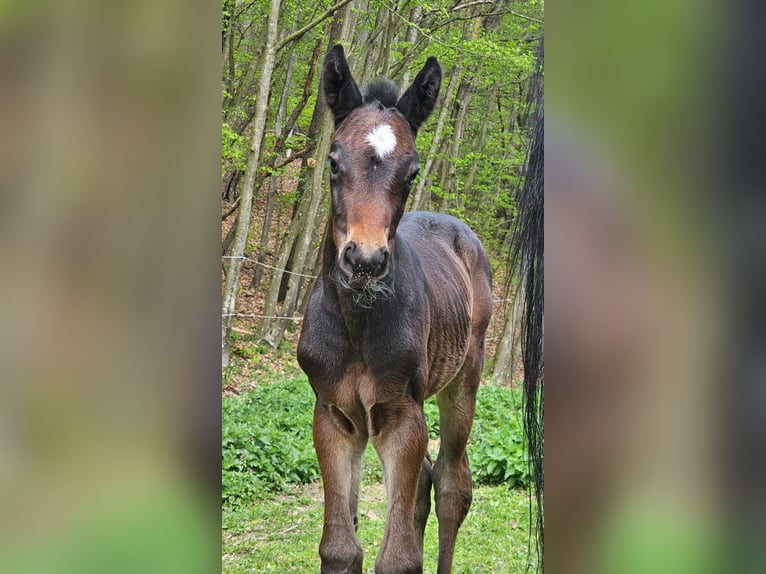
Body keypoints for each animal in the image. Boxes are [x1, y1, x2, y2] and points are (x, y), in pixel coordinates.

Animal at [296, 46, 496, 574]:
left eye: (412, 173)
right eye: (332, 162)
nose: (365, 262)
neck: (356, 324)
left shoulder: (403, 414)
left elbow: (399, 557)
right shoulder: (334, 416)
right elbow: (341, 546)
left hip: (463, 379)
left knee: (450, 483)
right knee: (425, 484)